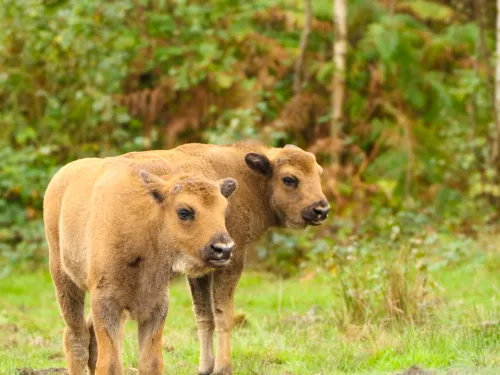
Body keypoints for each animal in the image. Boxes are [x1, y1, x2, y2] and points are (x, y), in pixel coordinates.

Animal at [42, 159, 236, 375]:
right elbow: (109, 363)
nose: (224, 248)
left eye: (223, 210)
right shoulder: (105, 303)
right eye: (184, 212)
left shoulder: (155, 307)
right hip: (63, 279)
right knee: (77, 338)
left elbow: (150, 362)